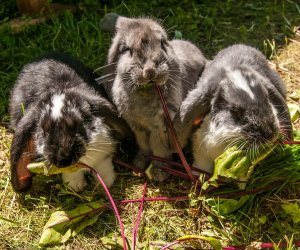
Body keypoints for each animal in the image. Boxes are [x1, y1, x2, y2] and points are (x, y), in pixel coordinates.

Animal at [9, 50, 134, 191]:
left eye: (78, 126)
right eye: (44, 131)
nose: (62, 161)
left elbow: (103, 163)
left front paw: (106, 181)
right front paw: (75, 185)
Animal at [100, 13, 206, 181]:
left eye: (162, 44)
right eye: (127, 49)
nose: (150, 71)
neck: (146, 91)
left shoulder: (161, 128)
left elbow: (159, 150)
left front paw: (159, 172)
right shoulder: (138, 127)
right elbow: (144, 146)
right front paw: (139, 163)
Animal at [180, 44, 292, 174]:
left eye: (267, 97)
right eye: (235, 111)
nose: (270, 134)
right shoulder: (202, 153)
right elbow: (201, 166)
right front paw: (198, 176)